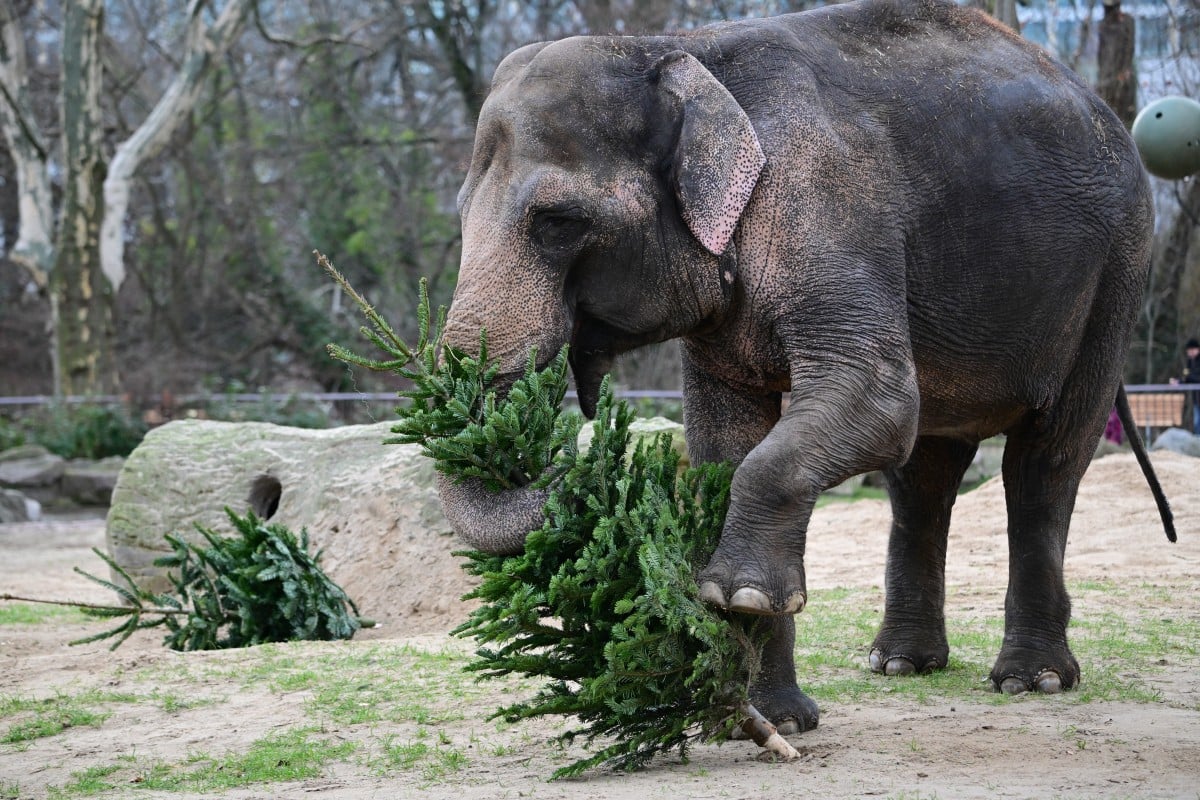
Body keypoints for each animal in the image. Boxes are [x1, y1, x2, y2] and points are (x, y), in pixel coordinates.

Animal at [432, 0, 1171, 738]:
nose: (577, 466)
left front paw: (738, 594)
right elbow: (726, 445)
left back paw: (1030, 680)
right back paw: (901, 665)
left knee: (1044, 461)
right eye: (460, 214)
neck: (674, 48)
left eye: (557, 221)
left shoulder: (831, 209)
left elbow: (877, 400)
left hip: (1116, 274)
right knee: (923, 474)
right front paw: (772, 716)